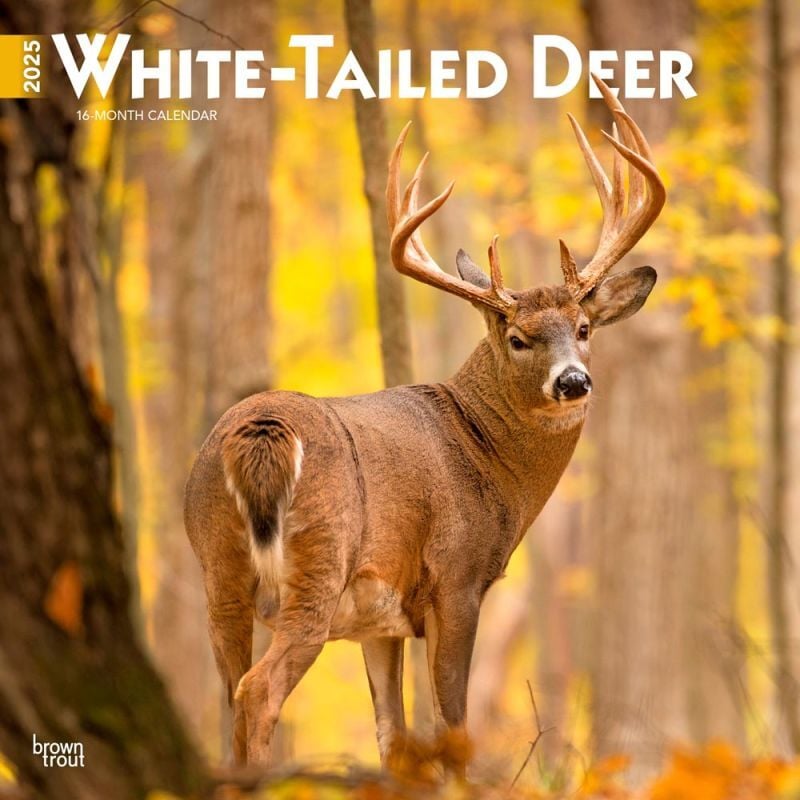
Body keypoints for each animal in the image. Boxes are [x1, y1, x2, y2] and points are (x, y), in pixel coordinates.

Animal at [184, 75, 665, 771]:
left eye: (583, 328)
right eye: (518, 338)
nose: (574, 381)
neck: (488, 454)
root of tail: (261, 430)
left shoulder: (377, 622)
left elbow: (393, 735)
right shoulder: (456, 579)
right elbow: (453, 728)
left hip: (215, 565)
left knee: (228, 696)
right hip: (318, 561)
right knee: (258, 690)